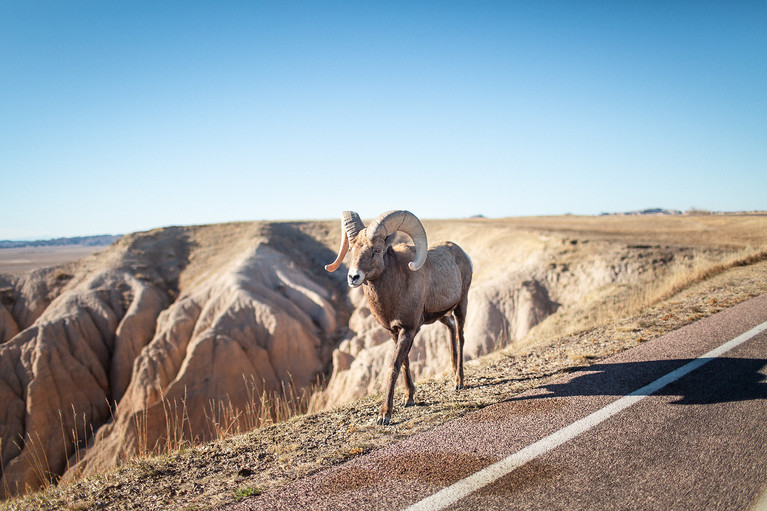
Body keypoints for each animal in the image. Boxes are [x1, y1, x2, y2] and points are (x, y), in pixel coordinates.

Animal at [322, 210, 472, 426]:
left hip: (461, 305)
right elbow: (404, 363)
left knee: (460, 338)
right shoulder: (394, 332)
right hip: (441, 316)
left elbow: (393, 366)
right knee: (451, 329)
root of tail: (463, 255)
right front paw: (409, 398)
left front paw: (384, 415)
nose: (353, 277)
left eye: (377, 250)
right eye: (351, 249)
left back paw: (459, 381)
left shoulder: (408, 330)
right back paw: (453, 372)